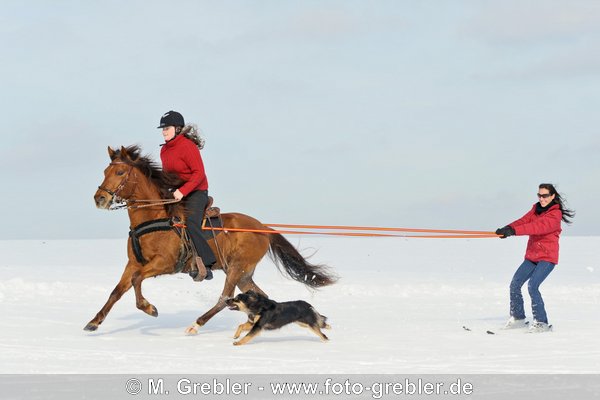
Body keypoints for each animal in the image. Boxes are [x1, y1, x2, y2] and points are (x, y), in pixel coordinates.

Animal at [85, 146, 338, 334]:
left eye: (120, 172)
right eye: (105, 170)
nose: (100, 198)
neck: (154, 217)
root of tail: (263, 228)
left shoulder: (164, 263)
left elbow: (137, 280)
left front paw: (149, 308)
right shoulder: (133, 263)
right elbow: (117, 290)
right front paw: (94, 322)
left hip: (236, 268)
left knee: (224, 298)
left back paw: (196, 324)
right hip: (243, 273)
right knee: (260, 295)